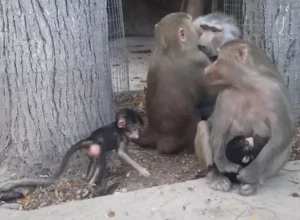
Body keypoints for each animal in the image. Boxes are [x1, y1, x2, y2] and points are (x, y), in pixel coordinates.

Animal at [0, 108, 149, 192]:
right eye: (134, 128)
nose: (137, 135)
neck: (120, 129)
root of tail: (91, 138)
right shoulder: (121, 137)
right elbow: (121, 153)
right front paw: (142, 170)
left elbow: (123, 154)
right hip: (98, 150)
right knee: (100, 166)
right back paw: (91, 186)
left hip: (93, 151)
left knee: (93, 164)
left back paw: (88, 178)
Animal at [195, 39, 296, 196]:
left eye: (217, 57)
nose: (205, 70)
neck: (248, 85)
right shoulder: (225, 95)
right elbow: (219, 129)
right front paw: (224, 164)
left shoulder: (274, 93)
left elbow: (285, 132)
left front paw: (251, 173)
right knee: (203, 126)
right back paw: (216, 175)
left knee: (285, 147)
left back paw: (254, 182)